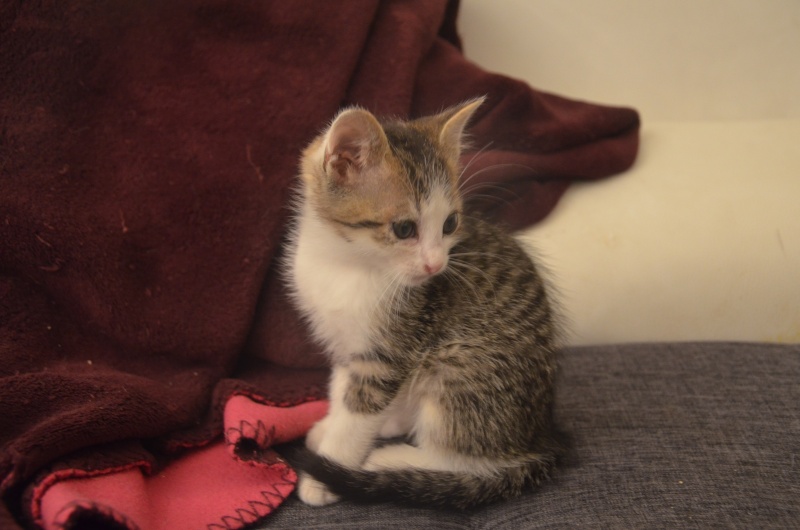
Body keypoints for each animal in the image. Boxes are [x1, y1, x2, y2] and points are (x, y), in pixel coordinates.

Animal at [284, 99, 564, 508]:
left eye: (450, 224)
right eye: (404, 229)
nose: (436, 265)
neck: (348, 264)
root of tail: (540, 440)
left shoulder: (391, 350)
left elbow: (359, 413)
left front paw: (326, 472)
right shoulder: (345, 344)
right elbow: (341, 388)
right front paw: (330, 427)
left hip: (458, 363)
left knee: (464, 458)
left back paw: (389, 461)